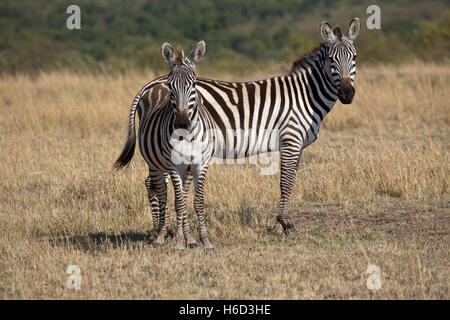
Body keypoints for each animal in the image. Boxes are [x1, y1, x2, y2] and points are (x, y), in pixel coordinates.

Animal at [116, 18, 362, 240]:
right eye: (331, 59)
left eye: (354, 57)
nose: (347, 94)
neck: (306, 95)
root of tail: (151, 84)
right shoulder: (291, 138)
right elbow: (286, 180)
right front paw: (286, 223)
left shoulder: (298, 144)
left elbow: (290, 178)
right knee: (154, 183)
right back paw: (165, 230)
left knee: (152, 183)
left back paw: (165, 230)